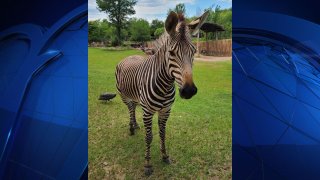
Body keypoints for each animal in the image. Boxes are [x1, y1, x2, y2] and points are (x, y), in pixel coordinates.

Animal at [115, 11, 198, 176]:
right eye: (171, 53)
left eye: (194, 52)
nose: (189, 91)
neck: (165, 86)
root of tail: (128, 56)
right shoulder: (147, 112)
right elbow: (149, 137)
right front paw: (147, 165)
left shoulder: (166, 111)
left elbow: (162, 134)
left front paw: (165, 156)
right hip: (123, 95)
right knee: (130, 108)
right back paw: (131, 127)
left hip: (135, 97)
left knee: (133, 108)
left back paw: (135, 125)